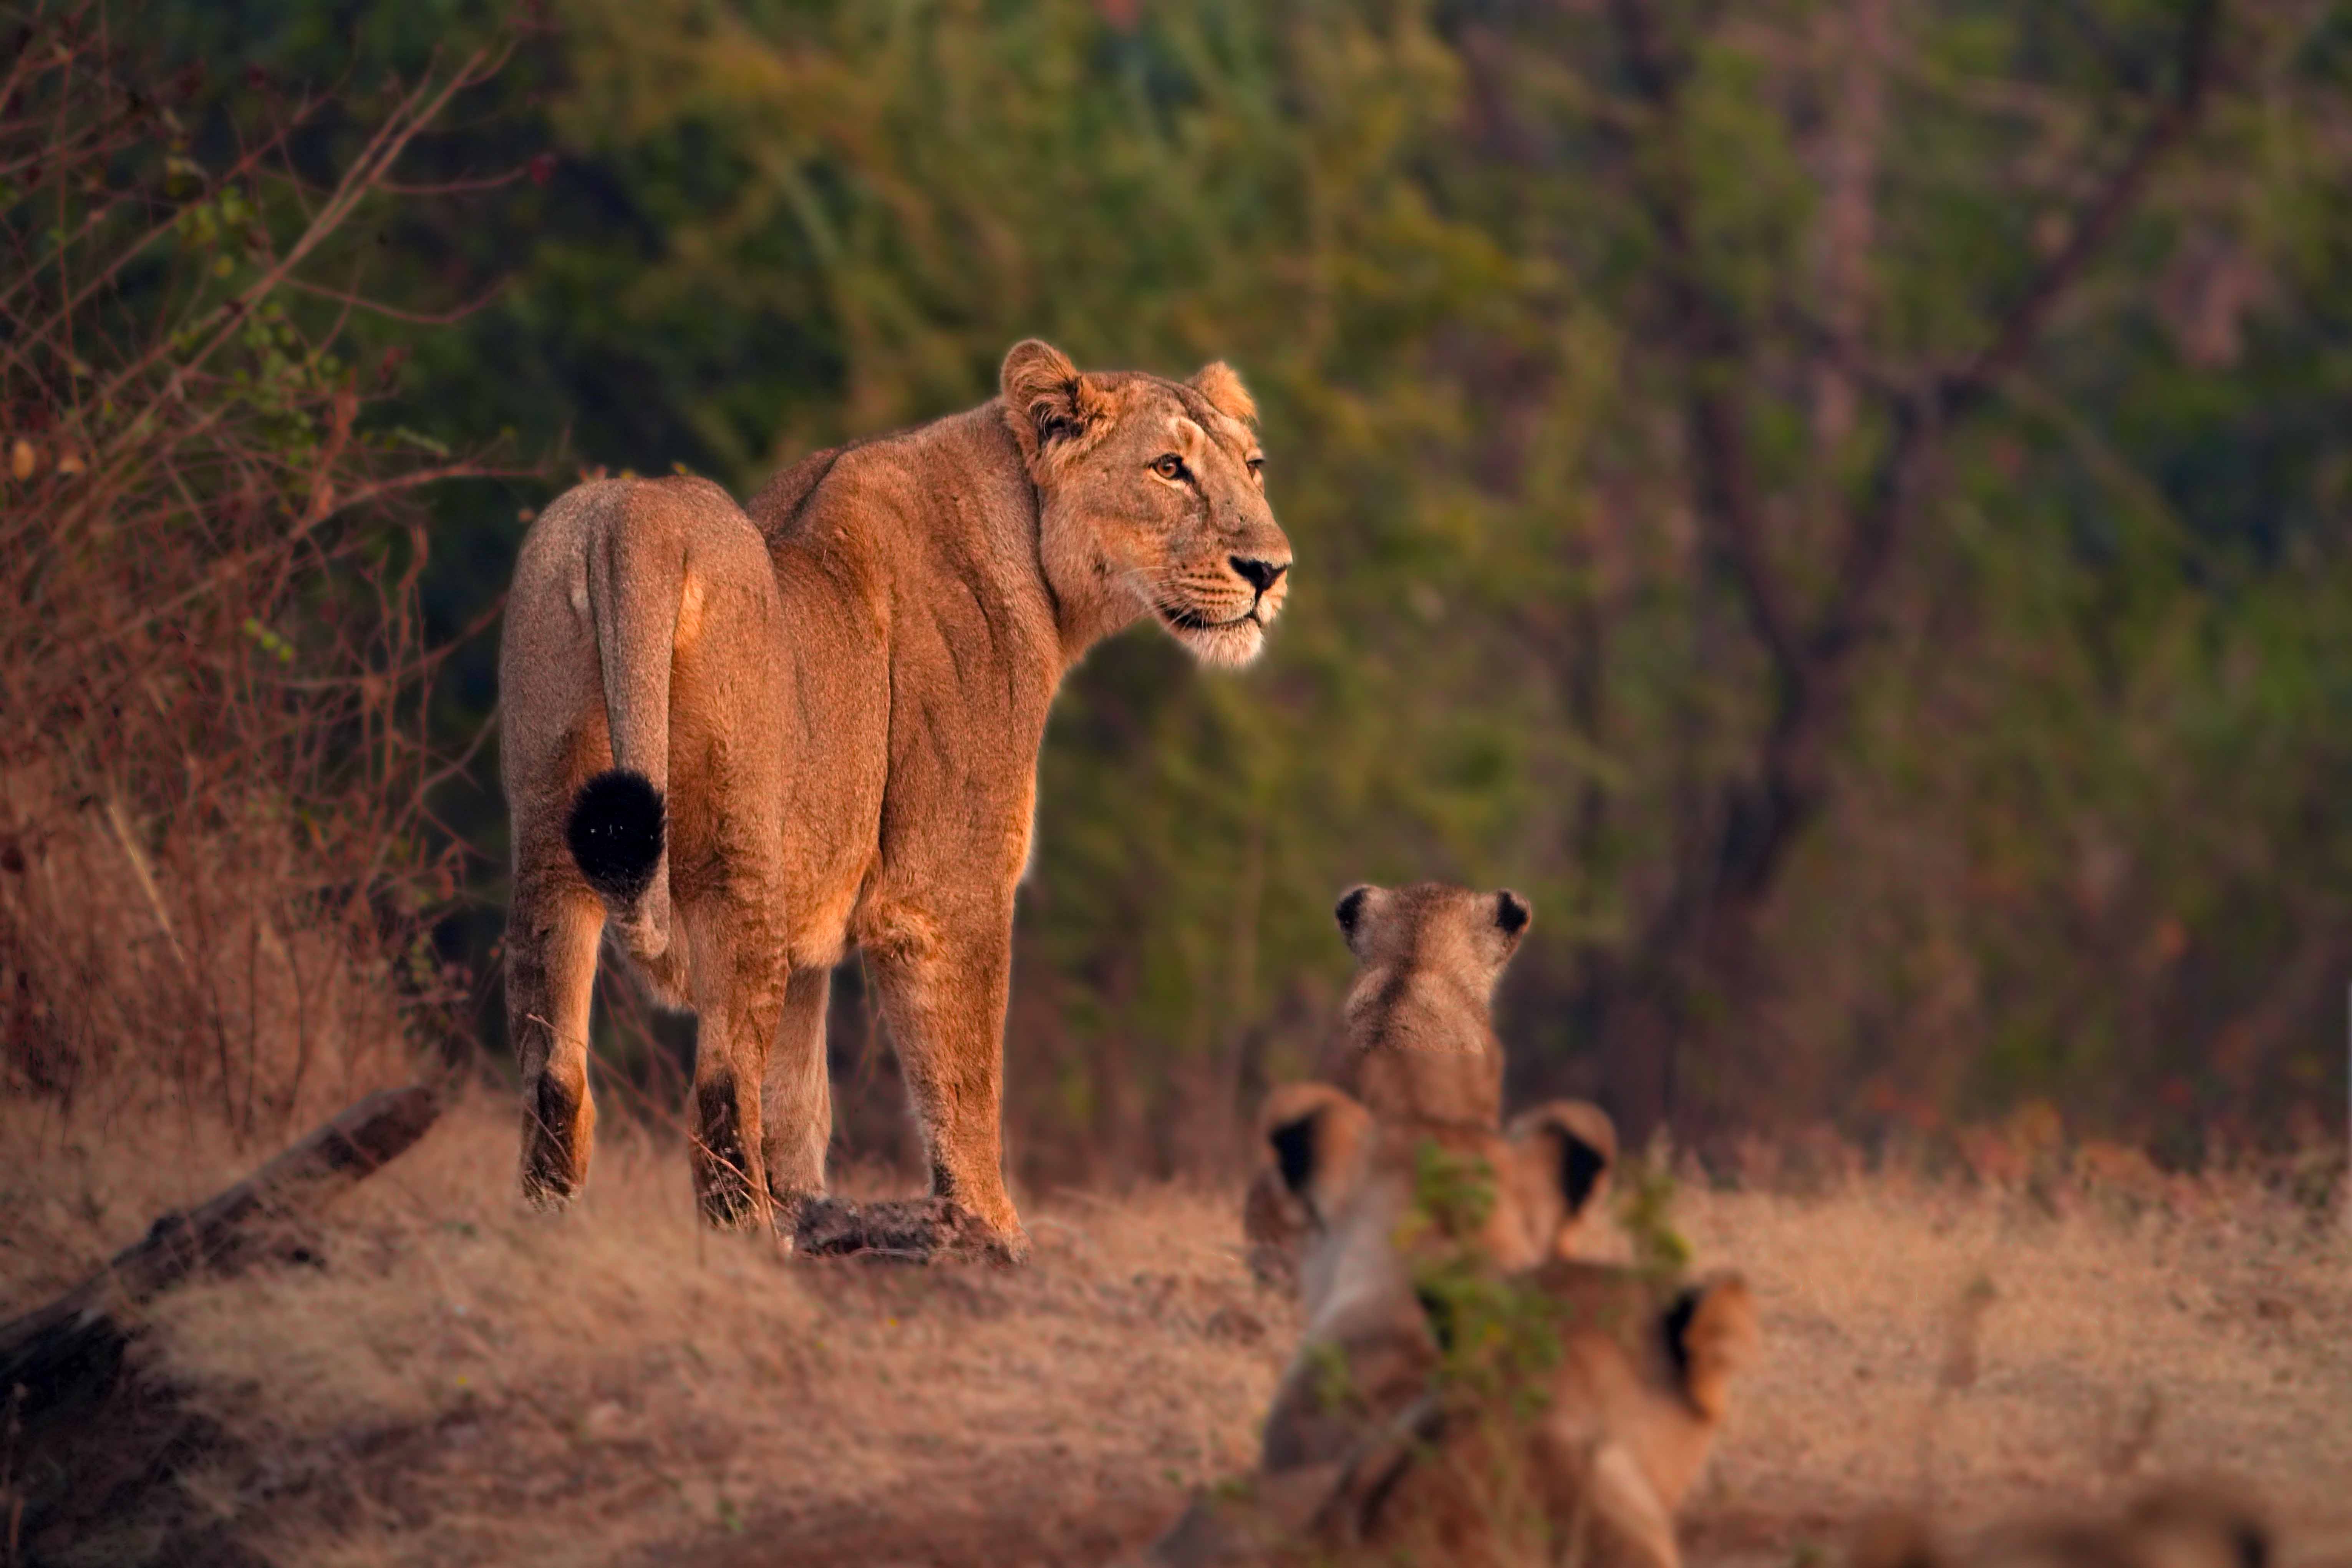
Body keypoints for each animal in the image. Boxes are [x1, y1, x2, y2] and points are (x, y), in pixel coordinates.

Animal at [498, 340, 1290, 1252]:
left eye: (1253, 466)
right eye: (1168, 468)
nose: (1270, 571)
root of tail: (634, 520)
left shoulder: (809, 920)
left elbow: (798, 1097)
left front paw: (808, 1206)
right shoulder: (947, 887)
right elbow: (966, 1074)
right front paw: (994, 1231)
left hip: (552, 838)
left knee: (556, 1072)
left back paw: (556, 1227)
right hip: (738, 848)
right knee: (720, 1087)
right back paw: (747, 1239)